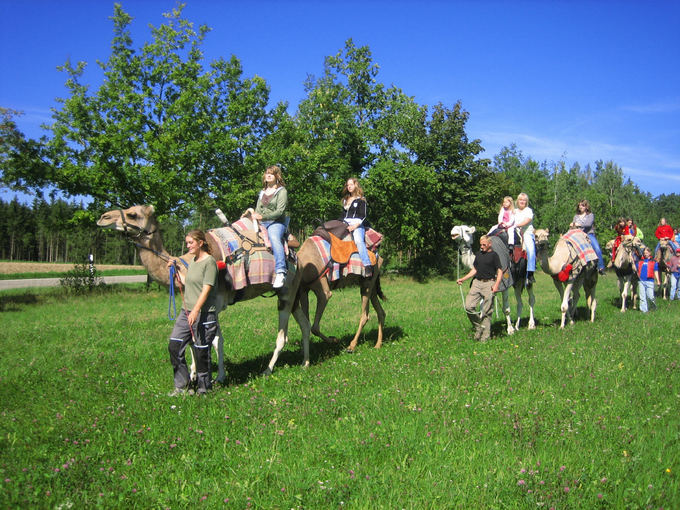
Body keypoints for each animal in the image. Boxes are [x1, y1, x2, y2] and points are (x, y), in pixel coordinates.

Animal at [96, 205, 314, 380]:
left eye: (132, 214)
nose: (103, 217)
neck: (184, 266)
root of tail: (297, 257)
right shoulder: (195, 304)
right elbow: (194, 339)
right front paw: (193, 374)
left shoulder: (214, 303)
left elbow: (216, 340)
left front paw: (219, 376)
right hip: (292, 295)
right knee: (305, 324)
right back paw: (305, 363)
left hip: (286, 292)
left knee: (282, 336)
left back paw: (268, 370)